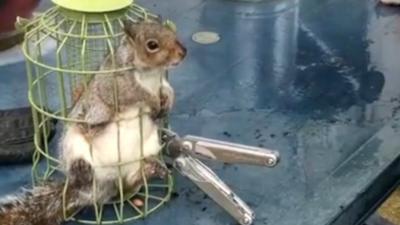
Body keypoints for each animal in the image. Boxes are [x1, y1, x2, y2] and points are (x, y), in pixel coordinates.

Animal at [0, 19, 187, 225]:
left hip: (147, 149)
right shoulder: (117, 86)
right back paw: (82, 169)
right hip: (74, 145)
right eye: (152, 45)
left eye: (171, 32)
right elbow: (139, 94)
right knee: (81, 176)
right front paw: (153, 101)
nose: (183, 52)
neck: (151, 75)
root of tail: (98, 186)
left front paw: (167, 101)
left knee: (131, 181)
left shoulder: (161, 82)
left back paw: (152, 169)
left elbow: (168, 90)